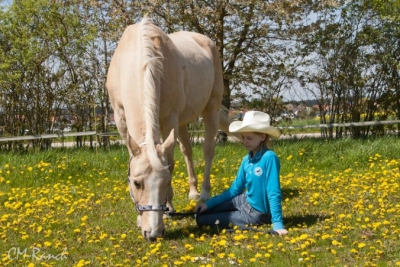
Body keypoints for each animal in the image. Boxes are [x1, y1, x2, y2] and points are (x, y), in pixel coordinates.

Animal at [105, 17, 234, 242]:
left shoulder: (170, 119)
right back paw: (192, 192)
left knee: (208, 150)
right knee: (188, 151)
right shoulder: (120, 119)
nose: (153, 233)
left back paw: (204, 193)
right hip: (183, 121)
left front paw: (169, 208)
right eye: (136, 183)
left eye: (166, 182)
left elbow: (171, 162)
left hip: (211, 106)